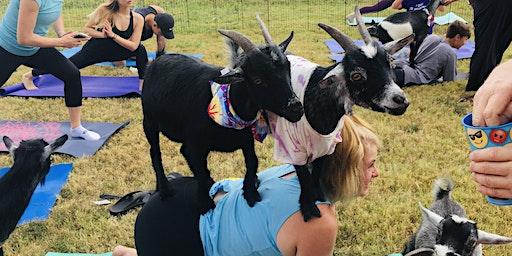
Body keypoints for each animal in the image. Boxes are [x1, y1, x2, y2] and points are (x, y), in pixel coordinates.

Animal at [142, 16, 304, 214]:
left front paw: (250, 192)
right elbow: (200, 170)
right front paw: (205, 203)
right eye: (258, 80)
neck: (229, 105)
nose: (296, 108)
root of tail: (158, 58)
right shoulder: (194, 145)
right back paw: (165, 190)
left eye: (288, 69)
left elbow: (252, 161)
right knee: (154, 152)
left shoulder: (245, 139)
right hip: (149, 121)